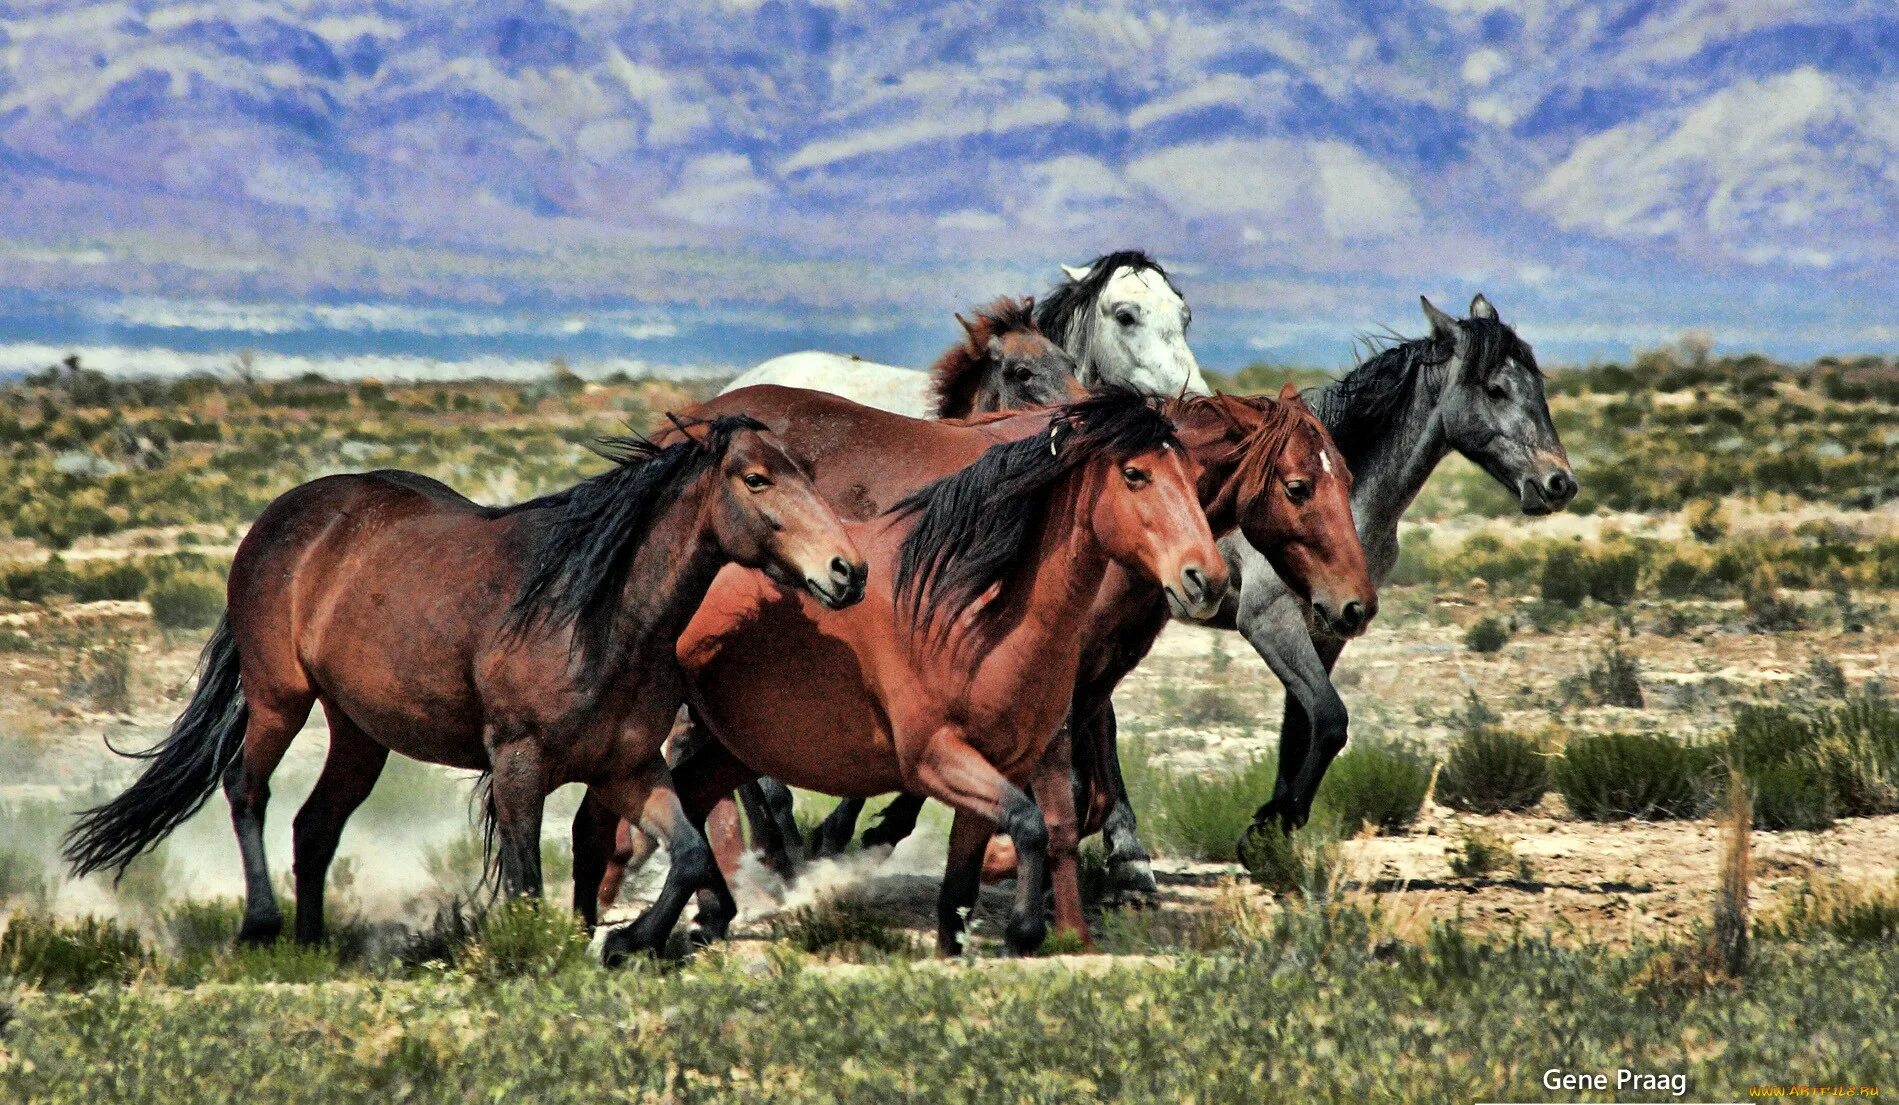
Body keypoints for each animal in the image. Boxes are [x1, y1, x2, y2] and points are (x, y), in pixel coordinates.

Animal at [65, 415, 869, 953]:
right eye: (757, 479)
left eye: (806, 474)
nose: (848, 570)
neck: (596, 615)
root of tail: (282, 518)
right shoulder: (518, 764)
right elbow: (526, 881)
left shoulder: (631, 767)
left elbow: (691, 852)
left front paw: (628, 938)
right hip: (277, 698)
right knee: (246, 789)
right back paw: (262, 925)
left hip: (359, 732)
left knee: (315, 823)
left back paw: (314, 941)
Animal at [645, 391, 1222, 960]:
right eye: (1134, 474)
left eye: (1193, 477)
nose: (1207, 579)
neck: (969, 620)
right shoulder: (935, 758)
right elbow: (1031, 824)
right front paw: (1024, 930)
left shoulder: (1003, 765)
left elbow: (966, 883)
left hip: (736, 745)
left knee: (691, 796)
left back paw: (692, 919)